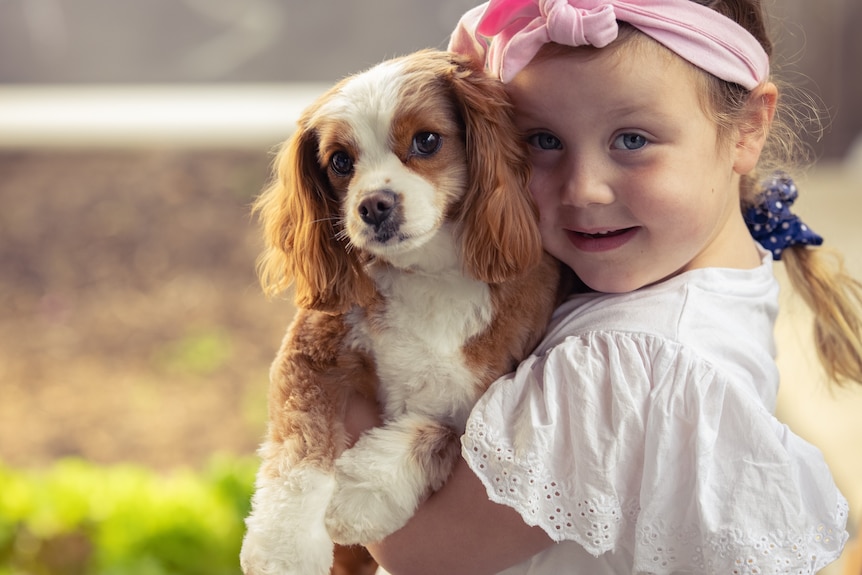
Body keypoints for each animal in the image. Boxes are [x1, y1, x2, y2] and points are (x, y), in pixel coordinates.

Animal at [240, 48, 564, 575]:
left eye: (427, 140)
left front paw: (361, 494)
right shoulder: (310, 352)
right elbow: (301, 444)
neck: (428, 271)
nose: (374, 204)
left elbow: (442, 433)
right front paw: (283, 547)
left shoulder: (482, 400)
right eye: (340, 161)